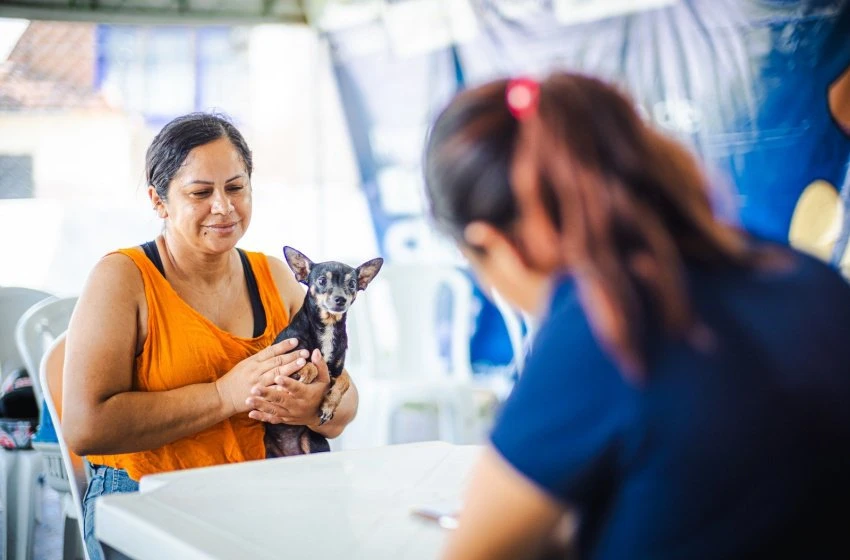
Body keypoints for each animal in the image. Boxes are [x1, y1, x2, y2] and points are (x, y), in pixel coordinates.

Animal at [264, 246, 383, 458]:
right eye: (321, 281)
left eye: (352, 284)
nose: (340, 299)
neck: (327, 327)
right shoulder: (282, 365)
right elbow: (308, 363)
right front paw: (306, 373)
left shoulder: (336, 371)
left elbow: (344, 381)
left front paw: (328, 405)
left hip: (314, 443)